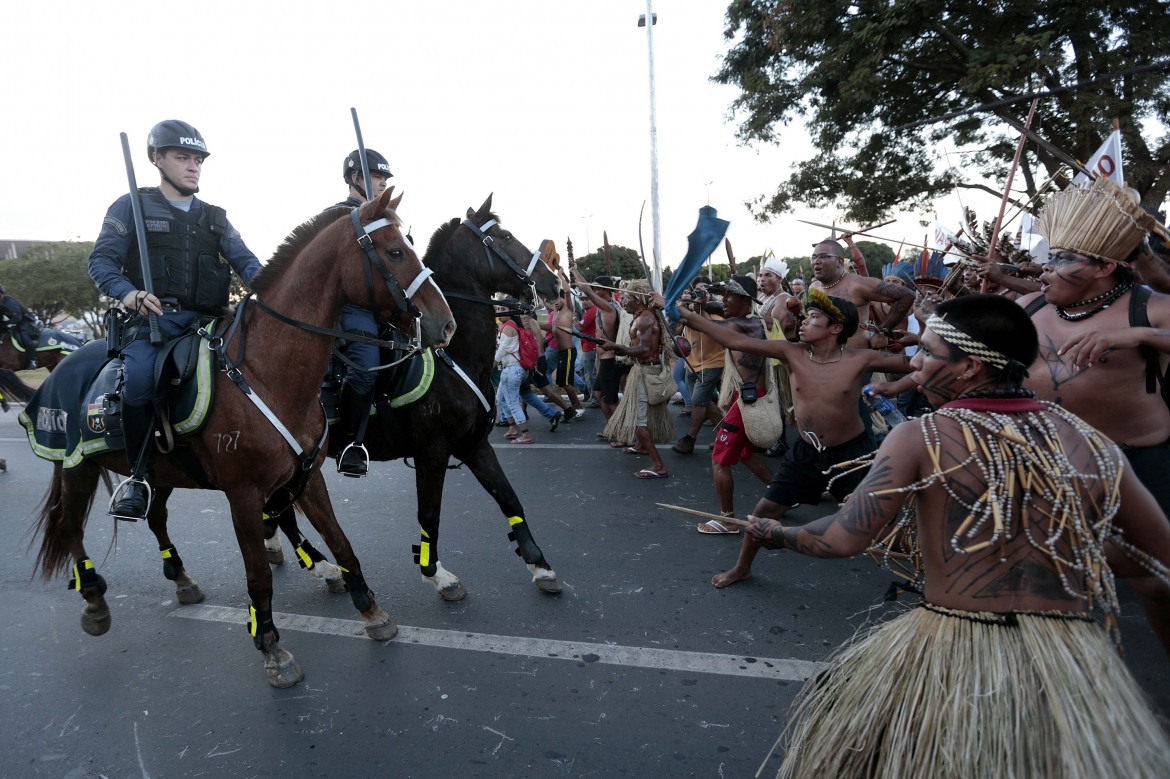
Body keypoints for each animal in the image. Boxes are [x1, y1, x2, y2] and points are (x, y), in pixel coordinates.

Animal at [26, 188, 456, 687]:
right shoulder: (243, 494)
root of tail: (61, 364)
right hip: (75, 467)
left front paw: (371, 611)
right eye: (395, 252)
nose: (445, 324)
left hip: (159, 471)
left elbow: (342, 542)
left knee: (155, 517)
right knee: (70, 526)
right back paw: (94, 599)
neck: (266, 373)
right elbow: (258, 577)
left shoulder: (308, 477)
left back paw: (182, 579)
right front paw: (271, 647)